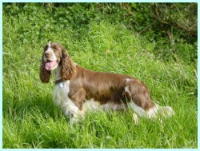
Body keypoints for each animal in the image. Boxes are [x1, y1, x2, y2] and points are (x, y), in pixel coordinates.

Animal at [39, 42, 174, 124]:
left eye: (55, 48)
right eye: (46, 48)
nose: (46, 54)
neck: (65, 76)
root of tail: (142, 84)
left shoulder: (75, 105)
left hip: (141, 105)